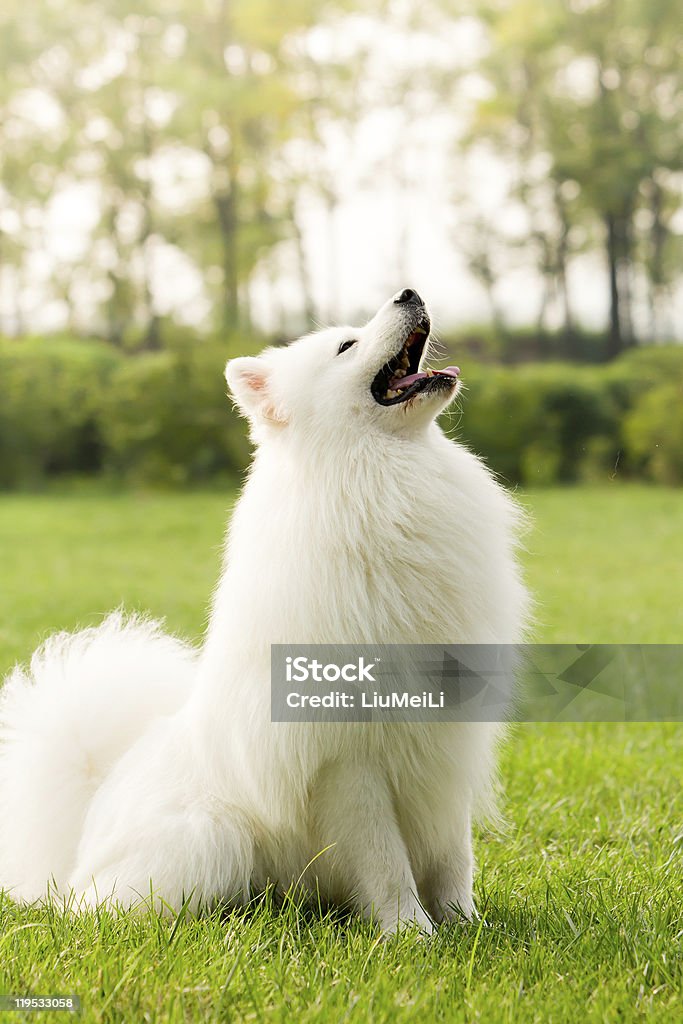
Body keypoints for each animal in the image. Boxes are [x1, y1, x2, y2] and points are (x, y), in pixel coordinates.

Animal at [0, 290, 528, 937]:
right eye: (346, 346)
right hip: (212, 842)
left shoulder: (447, 746)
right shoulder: (348, 765)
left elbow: (455, 857)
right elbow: (385, 863)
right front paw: (411, 934)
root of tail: (81, 828)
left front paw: (465, 926)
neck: (379, 474)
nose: (408, 293)